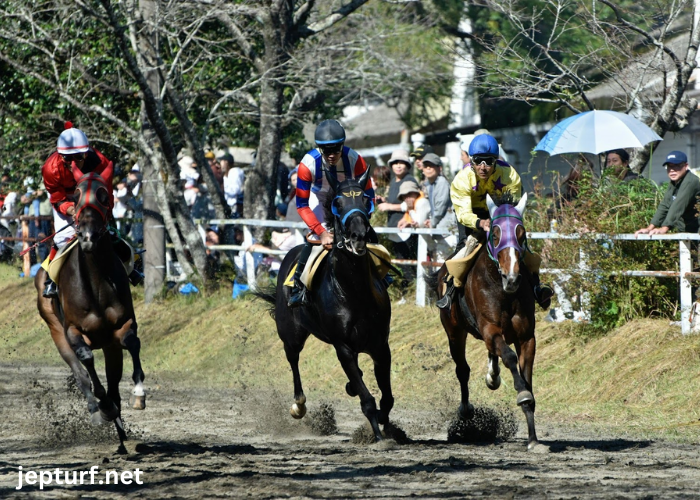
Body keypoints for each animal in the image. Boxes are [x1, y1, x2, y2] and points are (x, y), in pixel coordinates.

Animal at [34, 165, 145, 450]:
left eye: (104, 195)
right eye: (75, 194)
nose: (87, 237)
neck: (95, 282)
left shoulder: (122, 326)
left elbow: (132, 343)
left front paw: (139, 393)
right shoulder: (72, 331)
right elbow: (86, 362)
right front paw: (103, 407)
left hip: (109, 345)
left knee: (114, 383)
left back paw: (121, 433)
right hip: (55, 330)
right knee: (81, 373)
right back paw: (99, 410)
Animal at [430, 194, 540, 450]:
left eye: (522, 235)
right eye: (496, 235)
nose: (512, 278)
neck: (502, 289)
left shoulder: (526, 337)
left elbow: (526, 374)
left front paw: (533, 438)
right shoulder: (489, 329)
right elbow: (509, 356)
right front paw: (522, 393)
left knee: (492, 353)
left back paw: (493, 375)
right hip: (454, 331)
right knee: (463, 369)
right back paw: (466, 409)